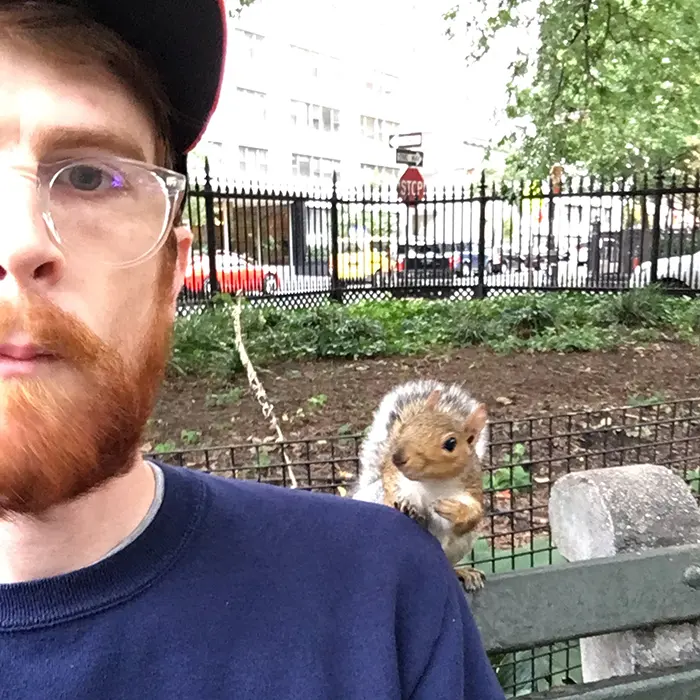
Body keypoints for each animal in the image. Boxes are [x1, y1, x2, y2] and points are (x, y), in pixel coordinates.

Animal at [352, 378, 490, 592]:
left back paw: (462, 572)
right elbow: (390, 492)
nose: (398, 456)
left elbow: (473, 515)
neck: (431, 483)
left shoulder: (471, 490)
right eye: (406, 427)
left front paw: (453, 509)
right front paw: (403, 504)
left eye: (451, 443)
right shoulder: (394, 477)